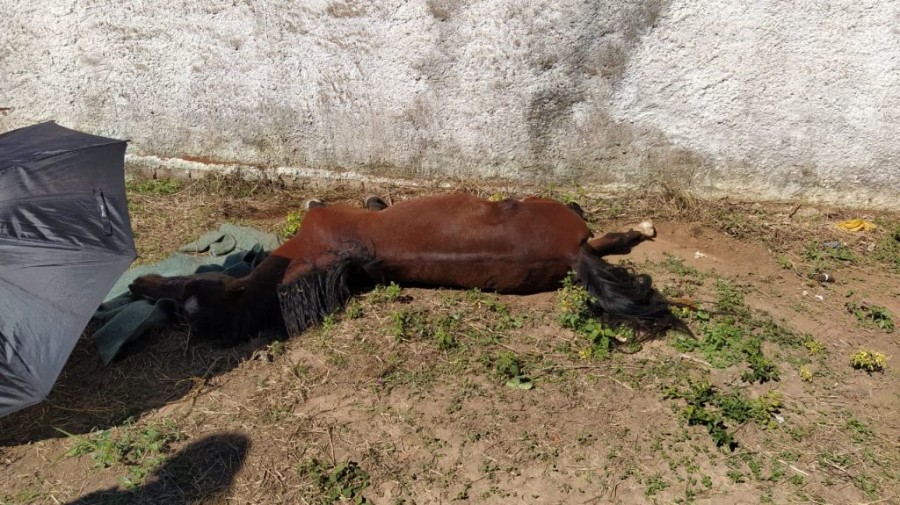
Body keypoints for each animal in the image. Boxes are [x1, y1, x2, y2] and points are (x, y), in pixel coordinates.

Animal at [129, 193, 671, 343]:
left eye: (196, 285)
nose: (137, 284)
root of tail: (570, 253)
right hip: (555, 214)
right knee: (603, 238)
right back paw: (641, 227)